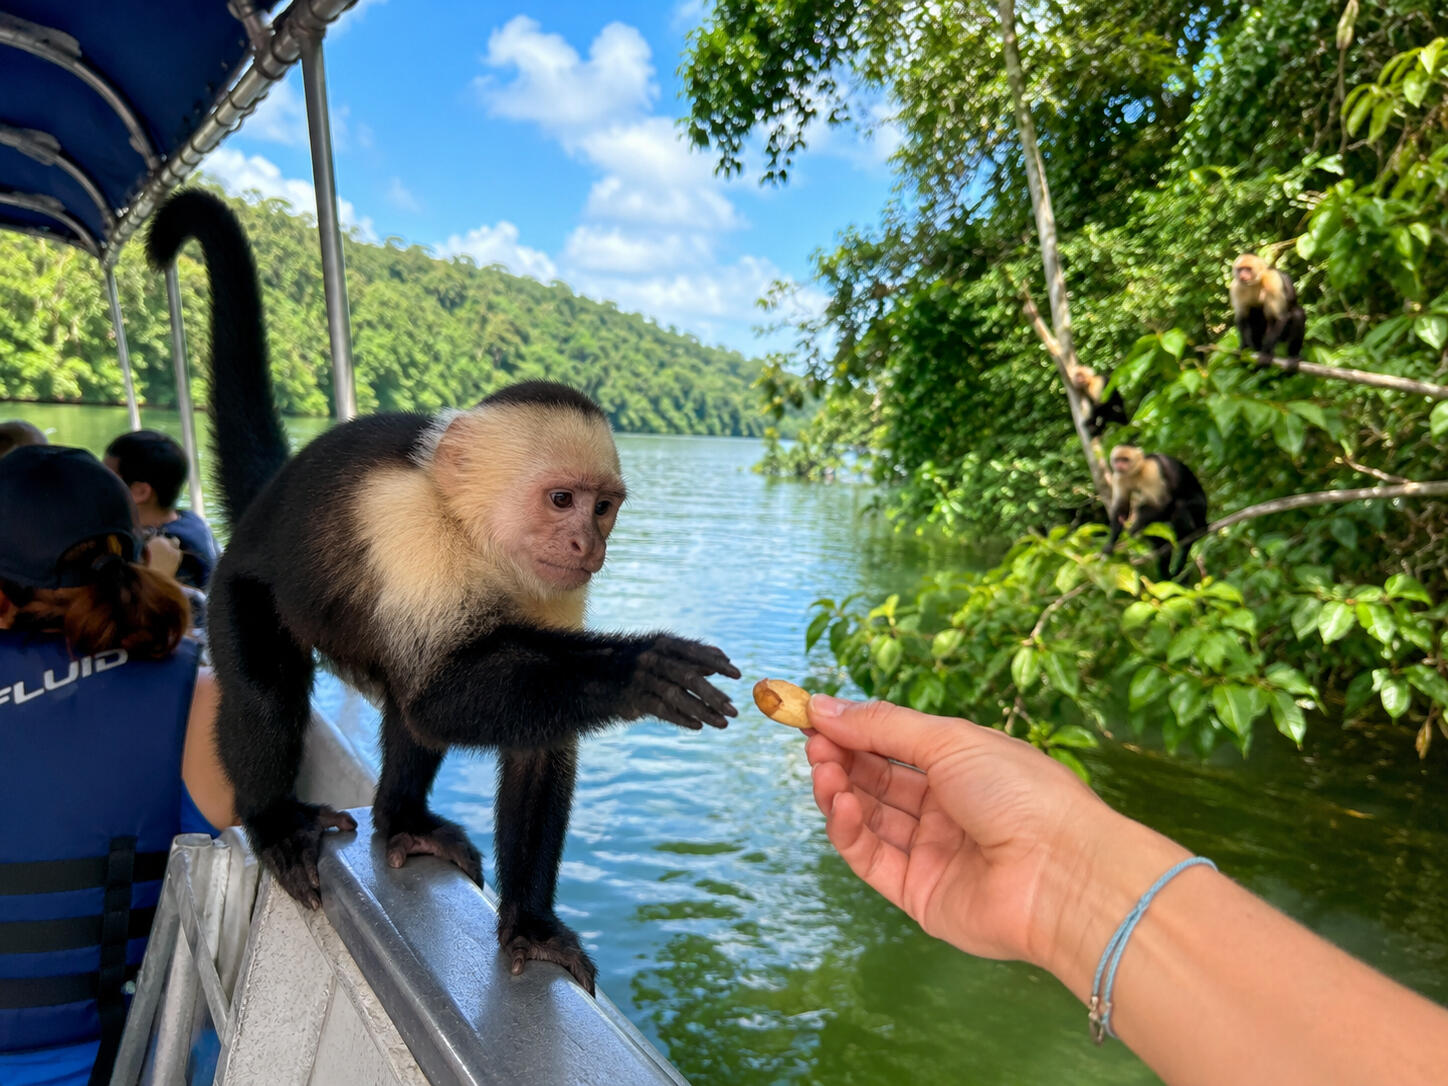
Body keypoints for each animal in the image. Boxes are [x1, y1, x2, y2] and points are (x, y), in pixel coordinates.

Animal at [146, 191, 740, 995]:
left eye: (604, 507)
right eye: (561, 500)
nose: (589, 545)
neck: (473, 537)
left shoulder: (552, 588)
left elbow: (527, 740)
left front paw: (530, 922)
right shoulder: (405, 528)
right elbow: (437, 695)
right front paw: (637, 670)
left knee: (409, 708)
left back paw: (401, 817)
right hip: (240, 582)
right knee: (275, 689)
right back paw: (273, 820)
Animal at [1101, 444, 1208, 580]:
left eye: (1125, 460)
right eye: (1117, 460)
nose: (1119, 465)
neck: (1136, 471)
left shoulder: (1151, 470)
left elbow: (1163, 502)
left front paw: (1134, 528)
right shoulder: (1119, 477)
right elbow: (1121, 509)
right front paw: (1111, 542)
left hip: (1200, 507)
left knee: (1179, 506)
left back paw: (1187, 535)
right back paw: (1162, 548)